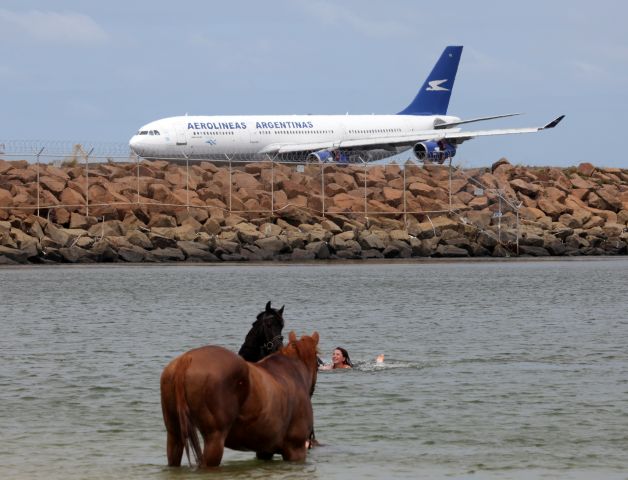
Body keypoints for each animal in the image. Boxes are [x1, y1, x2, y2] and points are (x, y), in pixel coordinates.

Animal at [161, 330, 318, 464]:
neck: (294, 370)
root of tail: (187, 358)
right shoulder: (295, 450)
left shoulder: (264, 451)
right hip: (214, 440)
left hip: (174, 437)